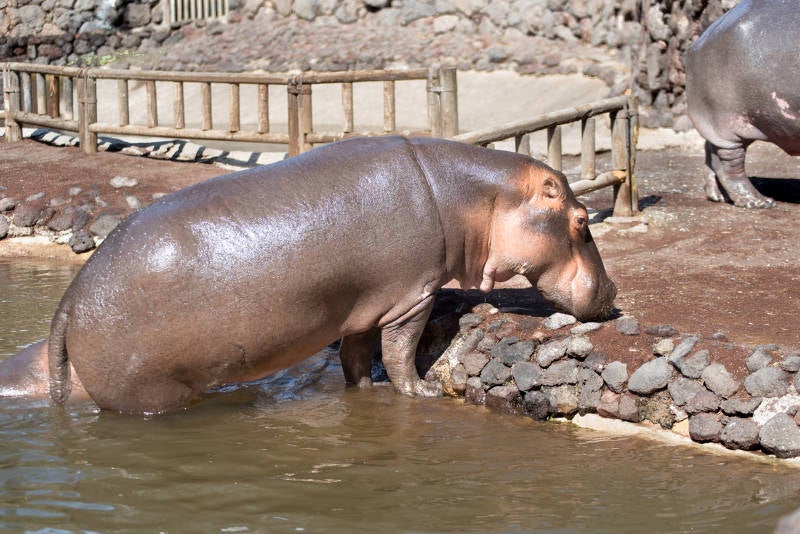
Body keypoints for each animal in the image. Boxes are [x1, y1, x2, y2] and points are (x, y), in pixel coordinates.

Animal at [3, 136, 616, 414]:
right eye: (583, 220)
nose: (613, 292)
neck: (475, 200)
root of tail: (70, 301)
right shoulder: (412, 296)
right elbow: (399, 351)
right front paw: (419, 393)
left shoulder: (366, 304)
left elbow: (356, 355)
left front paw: (363, 391)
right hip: (148, 390)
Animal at [686, 0, 800, 208]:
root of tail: (698, 42)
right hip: (726, 125)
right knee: (728, 165)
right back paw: (759, 202)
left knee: (710, 153)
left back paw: (718, 196)